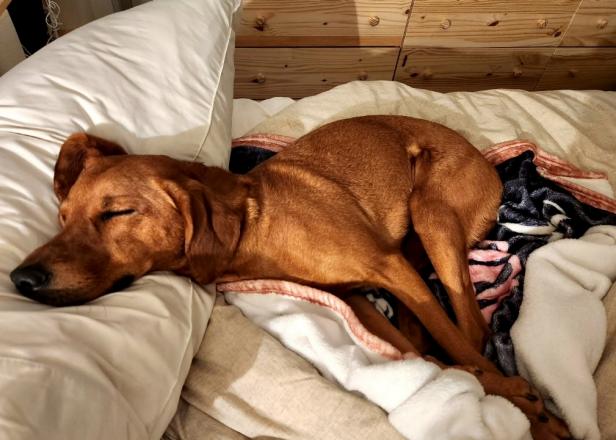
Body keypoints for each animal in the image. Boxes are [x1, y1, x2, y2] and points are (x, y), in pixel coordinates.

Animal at [10, 116, 571, 439]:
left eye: (117, 213)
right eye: (62, 218)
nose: (21, 278)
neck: (255, 226)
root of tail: (487, 161)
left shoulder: (387, 267)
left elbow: (455, 346)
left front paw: (527, 407)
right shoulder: (357, 297)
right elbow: (423, 355)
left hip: (431, 213)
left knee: (470, 327)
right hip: (415, 240)